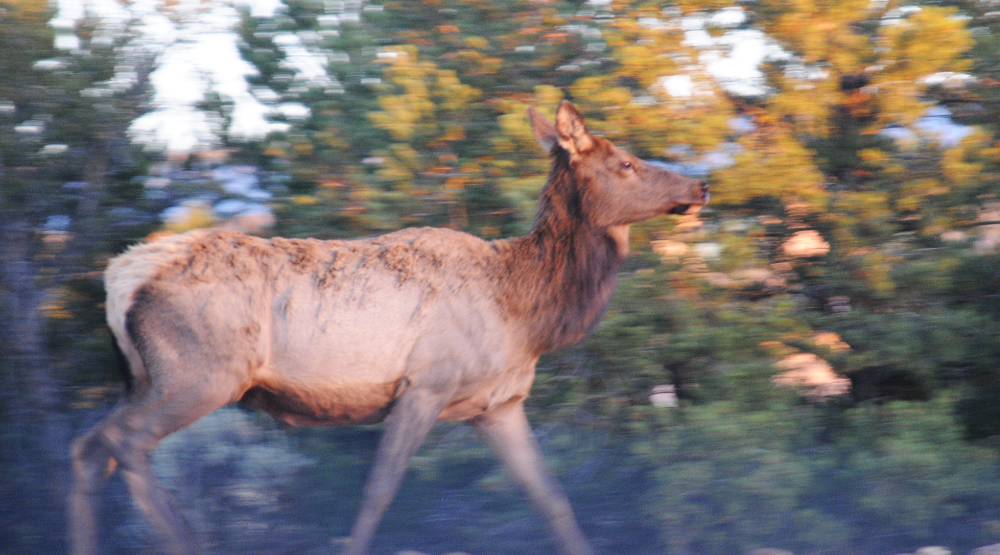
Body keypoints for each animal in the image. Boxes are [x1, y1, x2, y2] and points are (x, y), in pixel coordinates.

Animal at [68, 100, 709, 555]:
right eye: (626, 163)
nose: (699, 185)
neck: (528, 314)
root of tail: (119, 277)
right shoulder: (424, 385)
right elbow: (378, 494)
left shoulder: (498, 405)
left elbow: (553, 499)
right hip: (201, 375)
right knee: (125, 444)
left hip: (145, 379)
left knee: (89, 446)